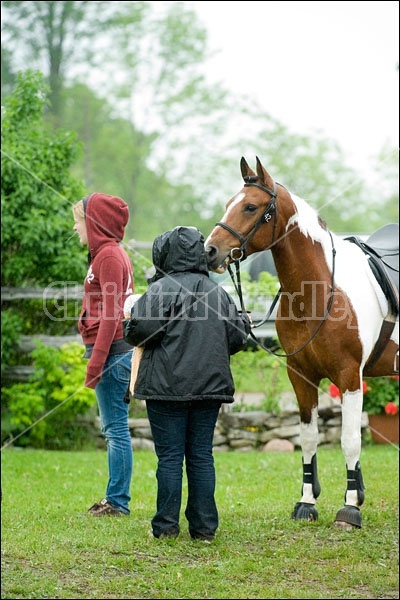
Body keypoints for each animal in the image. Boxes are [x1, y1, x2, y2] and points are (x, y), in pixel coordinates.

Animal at [205, 156, 398, 528]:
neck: (321, 289)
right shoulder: (301, 375)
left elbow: (349, 439)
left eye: (251, 206)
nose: (210, 251)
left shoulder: (350, 377)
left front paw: (350, 507)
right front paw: (307, 502)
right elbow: (308, 438)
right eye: (229, 203)